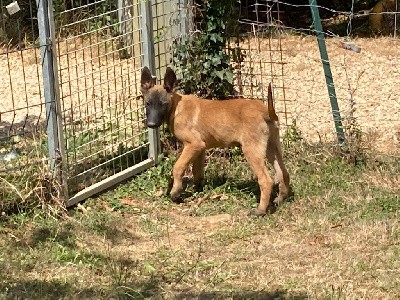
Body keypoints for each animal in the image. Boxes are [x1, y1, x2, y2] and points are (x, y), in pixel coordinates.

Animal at [142, 66, 290, 216]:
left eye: (163, 104)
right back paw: (280, 199)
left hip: (252, 150)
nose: (151, 124)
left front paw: (176, 192)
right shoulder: (200, 148)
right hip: (272, 147)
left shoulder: (193, 144)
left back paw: (260, 210)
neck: (177, 107)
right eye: (148, 104)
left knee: (266, 180)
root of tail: (265, 111)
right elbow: (197, 171)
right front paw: (197, 190)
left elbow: (178, 167)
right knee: (283, 172)